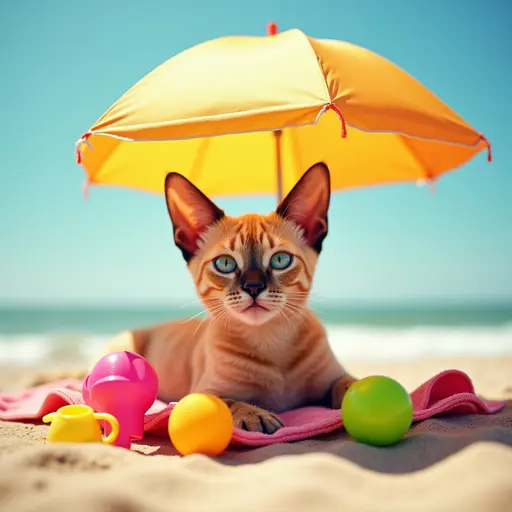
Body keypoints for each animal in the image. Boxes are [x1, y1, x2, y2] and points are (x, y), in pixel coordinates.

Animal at [105, 162, 356, 434]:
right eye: (225, 264)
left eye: (280, 260)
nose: (254, 287)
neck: (270, 341)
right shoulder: (200, 393)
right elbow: (227, 401)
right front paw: (256, 415)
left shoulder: (333, 377)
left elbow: (350, 383)